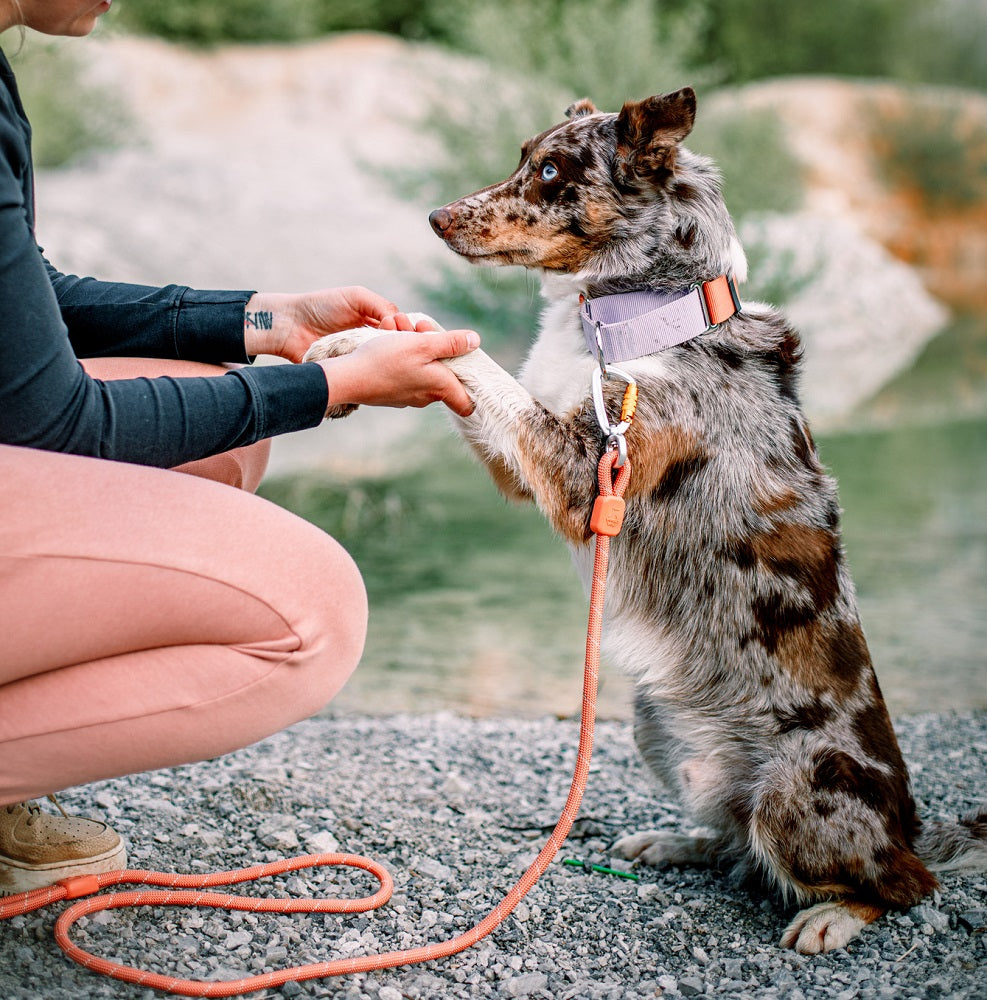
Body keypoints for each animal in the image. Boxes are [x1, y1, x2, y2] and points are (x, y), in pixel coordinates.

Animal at [304, 88, 984, 952]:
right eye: (524, 157)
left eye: (551, 170)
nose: (436, 217)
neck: (638, 315)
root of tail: (910, 826)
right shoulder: (532, 467)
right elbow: (454, 360)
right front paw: (344, 338)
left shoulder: (574, 473)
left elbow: (470, 359)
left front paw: (360, 337)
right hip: (652, 722)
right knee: (735, 840)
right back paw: (677, 840)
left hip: (798, 791)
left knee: (898, 882)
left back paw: (833, 915)